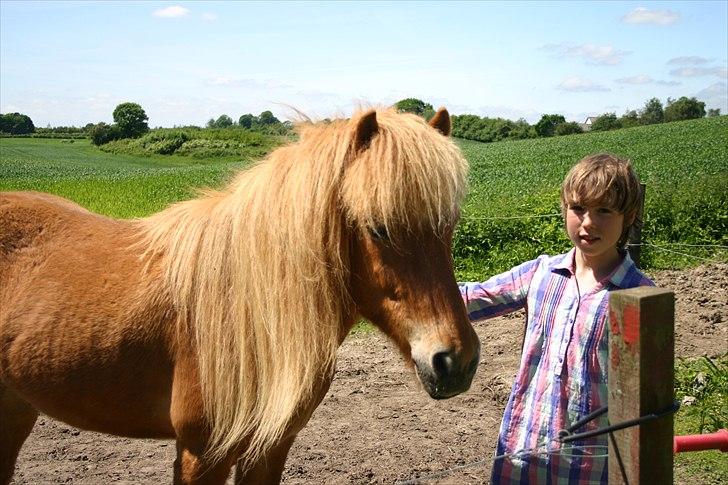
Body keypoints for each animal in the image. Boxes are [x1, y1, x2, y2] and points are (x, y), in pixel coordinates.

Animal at [1, 108, 484, 482]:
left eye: (449, 226)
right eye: (378, 228)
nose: (455, 361)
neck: (250, 312)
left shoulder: (271, 446)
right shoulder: (202, 454)